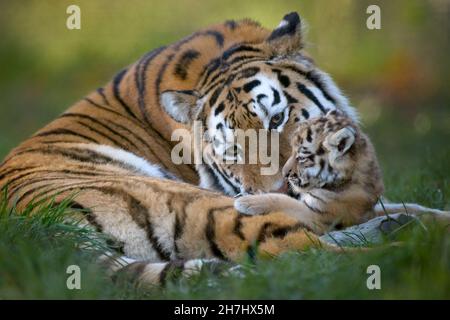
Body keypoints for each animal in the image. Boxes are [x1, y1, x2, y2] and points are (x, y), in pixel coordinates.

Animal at [0, 12, 360, 284]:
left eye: (277, 118)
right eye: (232, 149)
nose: (282, 189)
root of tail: (36, 233)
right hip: (200, 203)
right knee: (310, 251)